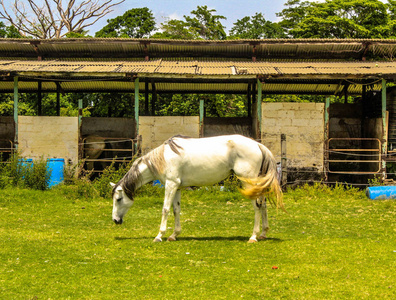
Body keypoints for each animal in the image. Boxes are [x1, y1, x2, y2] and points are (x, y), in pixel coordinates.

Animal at [110, 135, 282, 243]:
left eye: (119, 199)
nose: (115, 220)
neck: (163, 158)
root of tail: (257, 144)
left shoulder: (171, 185)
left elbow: (165, 209)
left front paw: (159, 236)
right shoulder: (177, 187)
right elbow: (176, 210)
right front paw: (174, 235)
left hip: (249, 183)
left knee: (257, 206)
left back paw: (253, 236)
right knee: (263, 204)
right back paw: (263, 233)